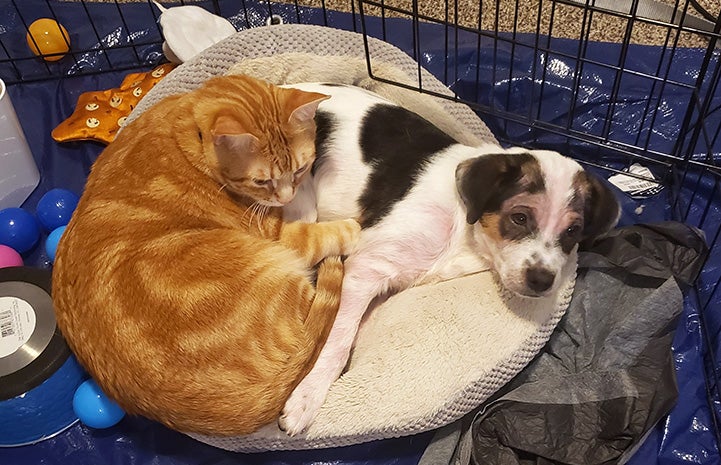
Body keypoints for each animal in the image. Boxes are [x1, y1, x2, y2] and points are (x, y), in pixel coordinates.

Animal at [50, 73, 360, 436]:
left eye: (299, 169)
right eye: (261, 181)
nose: (285, 198)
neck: (188, 135)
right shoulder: (276, 233)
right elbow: (321, 234)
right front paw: (350, 229)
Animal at [276, 81, 620, 434]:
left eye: (573, 231)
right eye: (520, 218)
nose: (542, 281)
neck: (464, 230)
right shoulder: (365, 270)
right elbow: (338, 339)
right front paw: (309, 395)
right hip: (302, 205)